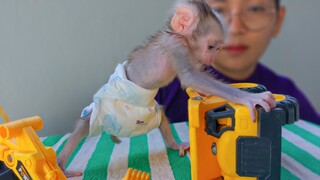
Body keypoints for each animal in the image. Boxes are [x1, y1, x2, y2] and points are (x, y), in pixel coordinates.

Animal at [56, 0, 274, 177]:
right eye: (212, 46)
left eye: (218, 48)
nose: (213, 59)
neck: (181, 38)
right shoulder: (175, 45)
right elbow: (190, 76)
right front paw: (248, 98)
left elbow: (194, 80)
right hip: (106, 111)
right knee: (84, 125)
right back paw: (61, 166)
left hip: (144, 115)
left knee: (160, 113)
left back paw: (174, 144)